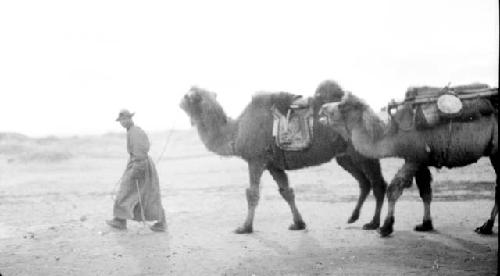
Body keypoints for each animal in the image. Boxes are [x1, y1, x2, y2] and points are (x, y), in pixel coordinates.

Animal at [182, 81, 388, 234]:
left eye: (188, 96)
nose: (180, 101)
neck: (235, 131)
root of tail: (369, 111)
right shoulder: (273, 165)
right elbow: (286, 192)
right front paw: (298, 223)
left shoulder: (256, 159)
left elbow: (252, 193)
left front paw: (244, 227)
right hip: (345, 157)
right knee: (364, 182)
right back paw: (354, 217)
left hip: (362, 151)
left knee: (378, 184)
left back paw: (374, 224)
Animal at [318, 89, 498, 236]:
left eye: (343, 106)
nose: (322, 108)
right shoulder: (419, 160)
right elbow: (425, 192)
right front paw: (425, 225)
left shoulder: (414, 158)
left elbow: (394, 189)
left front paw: (385, 227)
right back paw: (486, 227)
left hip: (496, 151)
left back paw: (486, 226)